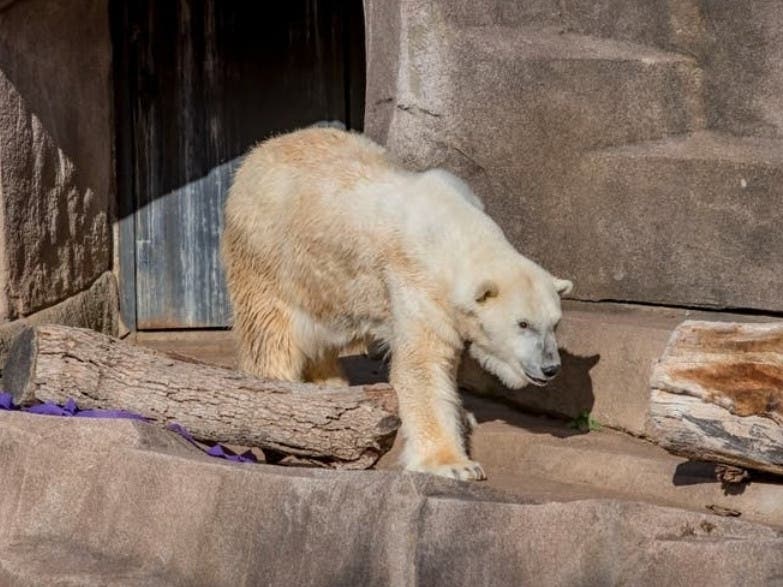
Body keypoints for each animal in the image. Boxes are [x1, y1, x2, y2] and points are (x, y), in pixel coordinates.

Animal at [224, 126, 572, 480]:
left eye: (554, 323)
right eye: (523, 323)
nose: (550, 368)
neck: (452, 229)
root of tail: (260, 151)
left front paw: (464, 417)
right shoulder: (417, 282)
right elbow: (423, 365)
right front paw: (455, 465)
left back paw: (332, 386)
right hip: (269, 254)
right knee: (272, 334)